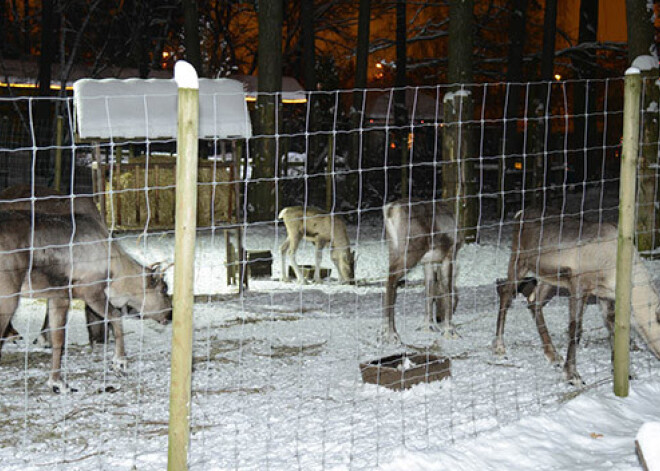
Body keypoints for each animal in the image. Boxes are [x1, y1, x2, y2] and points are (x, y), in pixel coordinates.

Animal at [382, 199, 464, 342]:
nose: (439, 319)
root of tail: (391, 209)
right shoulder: (449, 254)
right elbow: (447, 288)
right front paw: (449, 330)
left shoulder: (427, 261)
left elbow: (429, 289)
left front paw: (428, 326)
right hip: (412, 250)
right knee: (392, 278)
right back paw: (391, 334)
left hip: (393, 248)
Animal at [496, 208, 660, 386]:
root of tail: (520, 214)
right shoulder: (578, 285)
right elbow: (576, 329)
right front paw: (572, 375)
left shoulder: (605, 295)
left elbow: (611, 327)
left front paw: (624, 372)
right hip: (519, 259)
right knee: (506, 293)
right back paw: (499, 346)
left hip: (549, 277)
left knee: (534, 301)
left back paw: (553, 354)